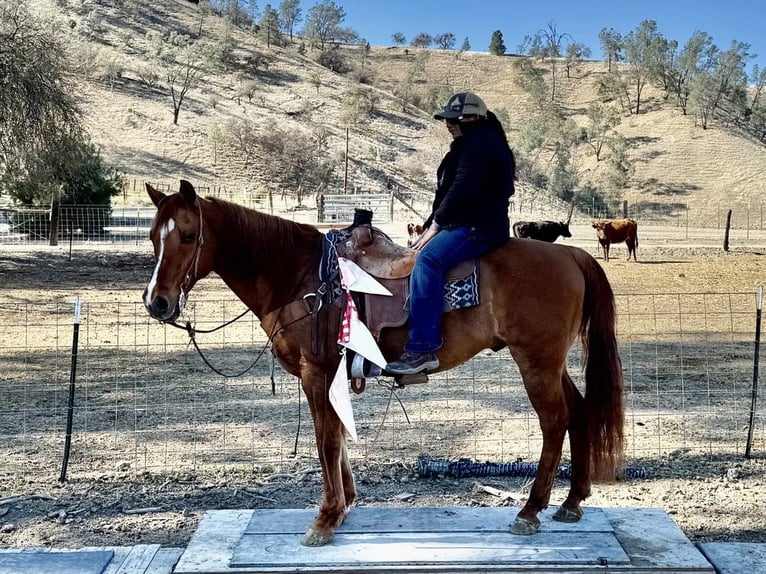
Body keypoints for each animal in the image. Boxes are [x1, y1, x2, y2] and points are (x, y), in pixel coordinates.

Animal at [142, 180, 624, 548]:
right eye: (152, 236)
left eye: (188, 236)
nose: (156, 303)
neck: (298, 276)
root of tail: (571, 254)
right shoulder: (328, 374)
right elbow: (336, 437)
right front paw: (343, 506)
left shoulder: (317, 371)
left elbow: (325, 441)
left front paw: (325, 518)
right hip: (551, 363)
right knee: (579, 411)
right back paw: (571, 501)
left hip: (536, 362)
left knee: (554, 421)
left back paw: (531, 509)